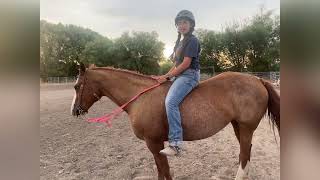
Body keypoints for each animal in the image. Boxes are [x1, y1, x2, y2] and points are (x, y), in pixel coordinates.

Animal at [70, 62, 280, 179]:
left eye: (77, 86)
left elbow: (165, 171)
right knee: (246, 153)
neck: (140, 97)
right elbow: (161, 171)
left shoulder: (154, 144)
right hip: (238, 126)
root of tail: (257, 80)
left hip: (246, 127)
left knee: (244, 155)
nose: (74, 111)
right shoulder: (155, 146)